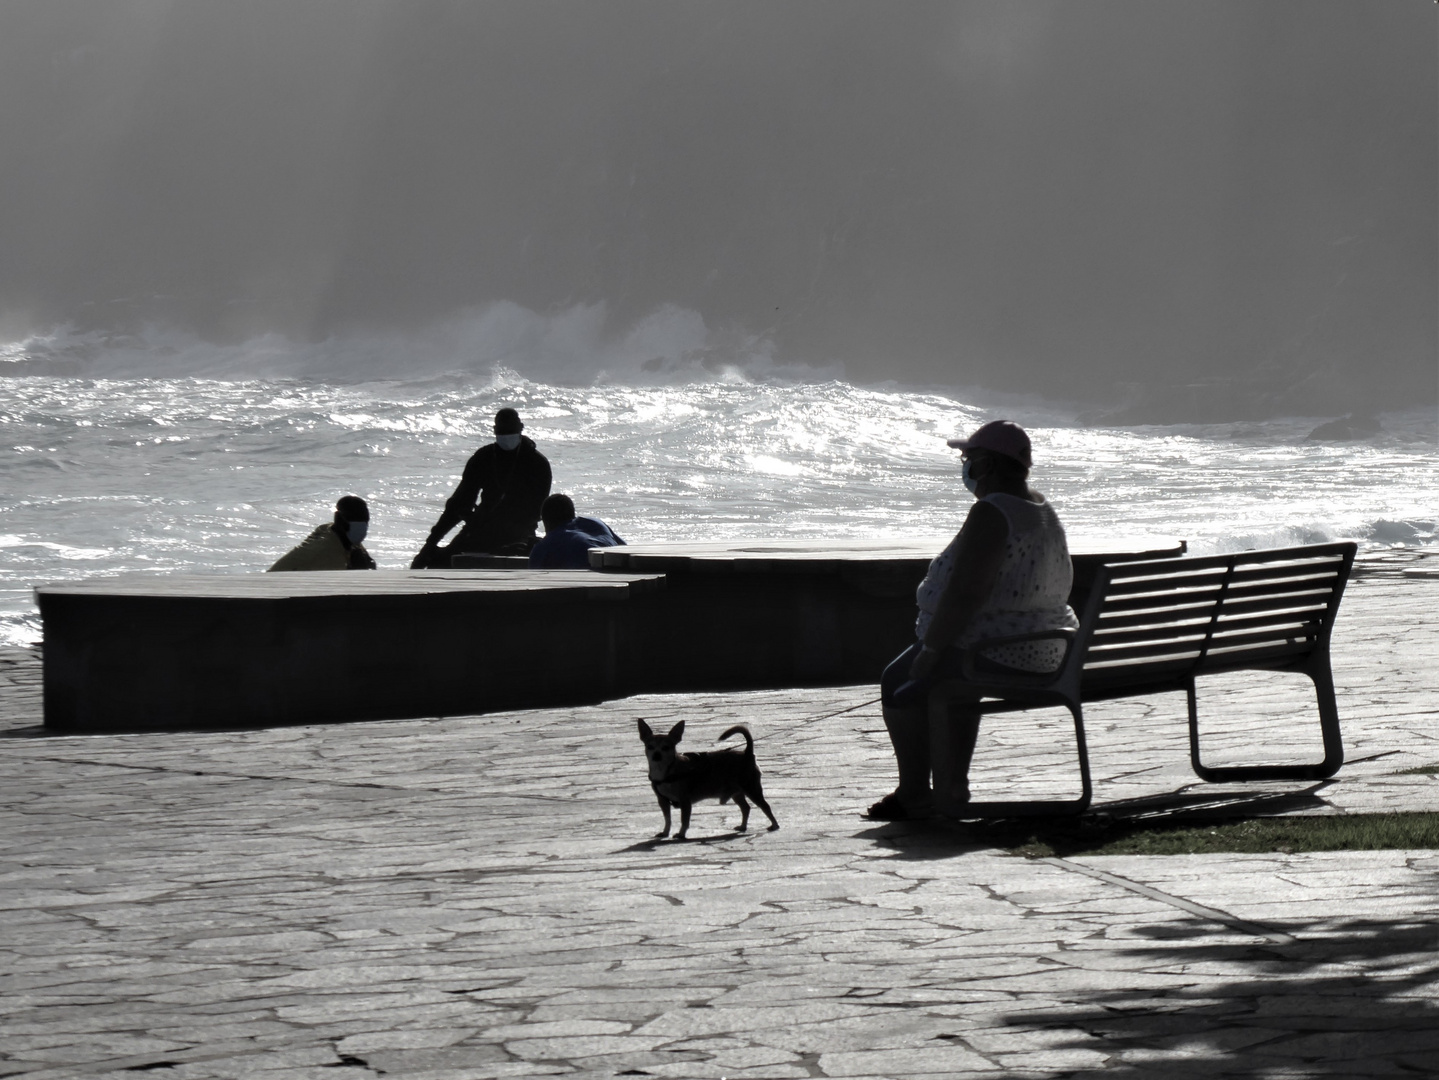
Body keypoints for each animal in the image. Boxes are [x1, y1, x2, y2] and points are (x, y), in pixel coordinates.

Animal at [638, 719, 782, 845]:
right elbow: (667, 819)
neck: (666, 771)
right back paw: (743, 826)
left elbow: (684, 820)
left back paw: (774, 825)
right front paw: (665, 832)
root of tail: (747, 753)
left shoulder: (685, 801)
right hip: (737, 793)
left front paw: (681, 834)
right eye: (650, 747)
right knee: (746, 808)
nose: (657, 754)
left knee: (765, 806)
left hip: (752, 789)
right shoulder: (662, 801)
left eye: (666, 748)